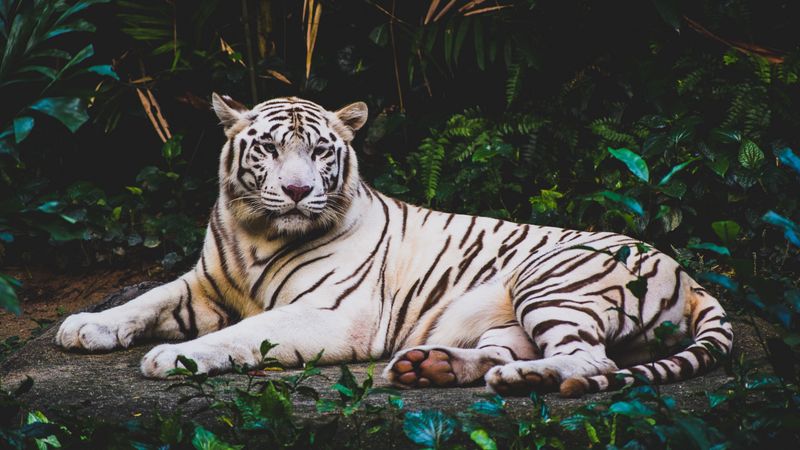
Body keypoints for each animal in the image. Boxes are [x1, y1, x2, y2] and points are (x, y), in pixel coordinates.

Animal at [55, 94, 733, 397]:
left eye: (320, 151)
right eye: (269, 148)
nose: (298, 191)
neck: (257, 233)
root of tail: (691, 276)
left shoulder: (333, 314)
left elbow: (243, 333)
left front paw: (174, 358)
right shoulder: (203, 283)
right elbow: (146, 298)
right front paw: (85, 326)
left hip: (550, 281)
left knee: (594, 361)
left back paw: (523, 379)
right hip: (509, 315)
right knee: (508, 350)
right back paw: (430, 366)